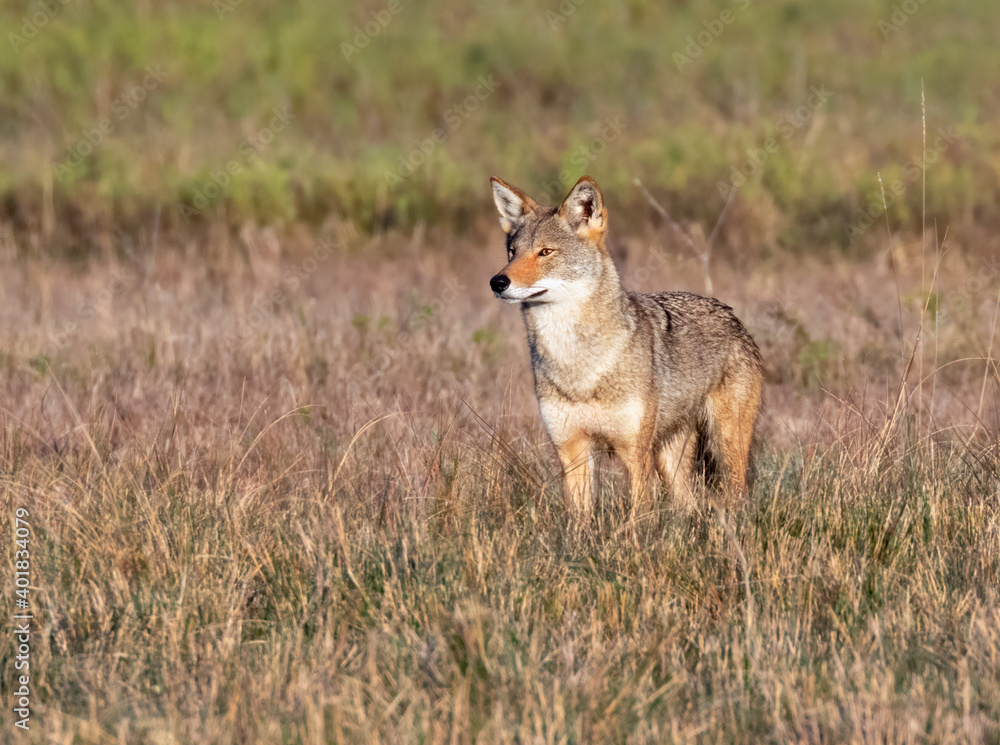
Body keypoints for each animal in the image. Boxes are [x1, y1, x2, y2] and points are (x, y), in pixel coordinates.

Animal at [488, 175, 763, 517]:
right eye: (512, 252)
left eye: (545, 252)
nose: (497, 282)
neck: (578, 366)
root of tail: (730, 313)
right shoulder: (572, 452)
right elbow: (579, 518)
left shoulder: (635, 454)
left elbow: (639, 517)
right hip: (671, 459)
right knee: (688, 505)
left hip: (726, 447)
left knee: (737, 497)